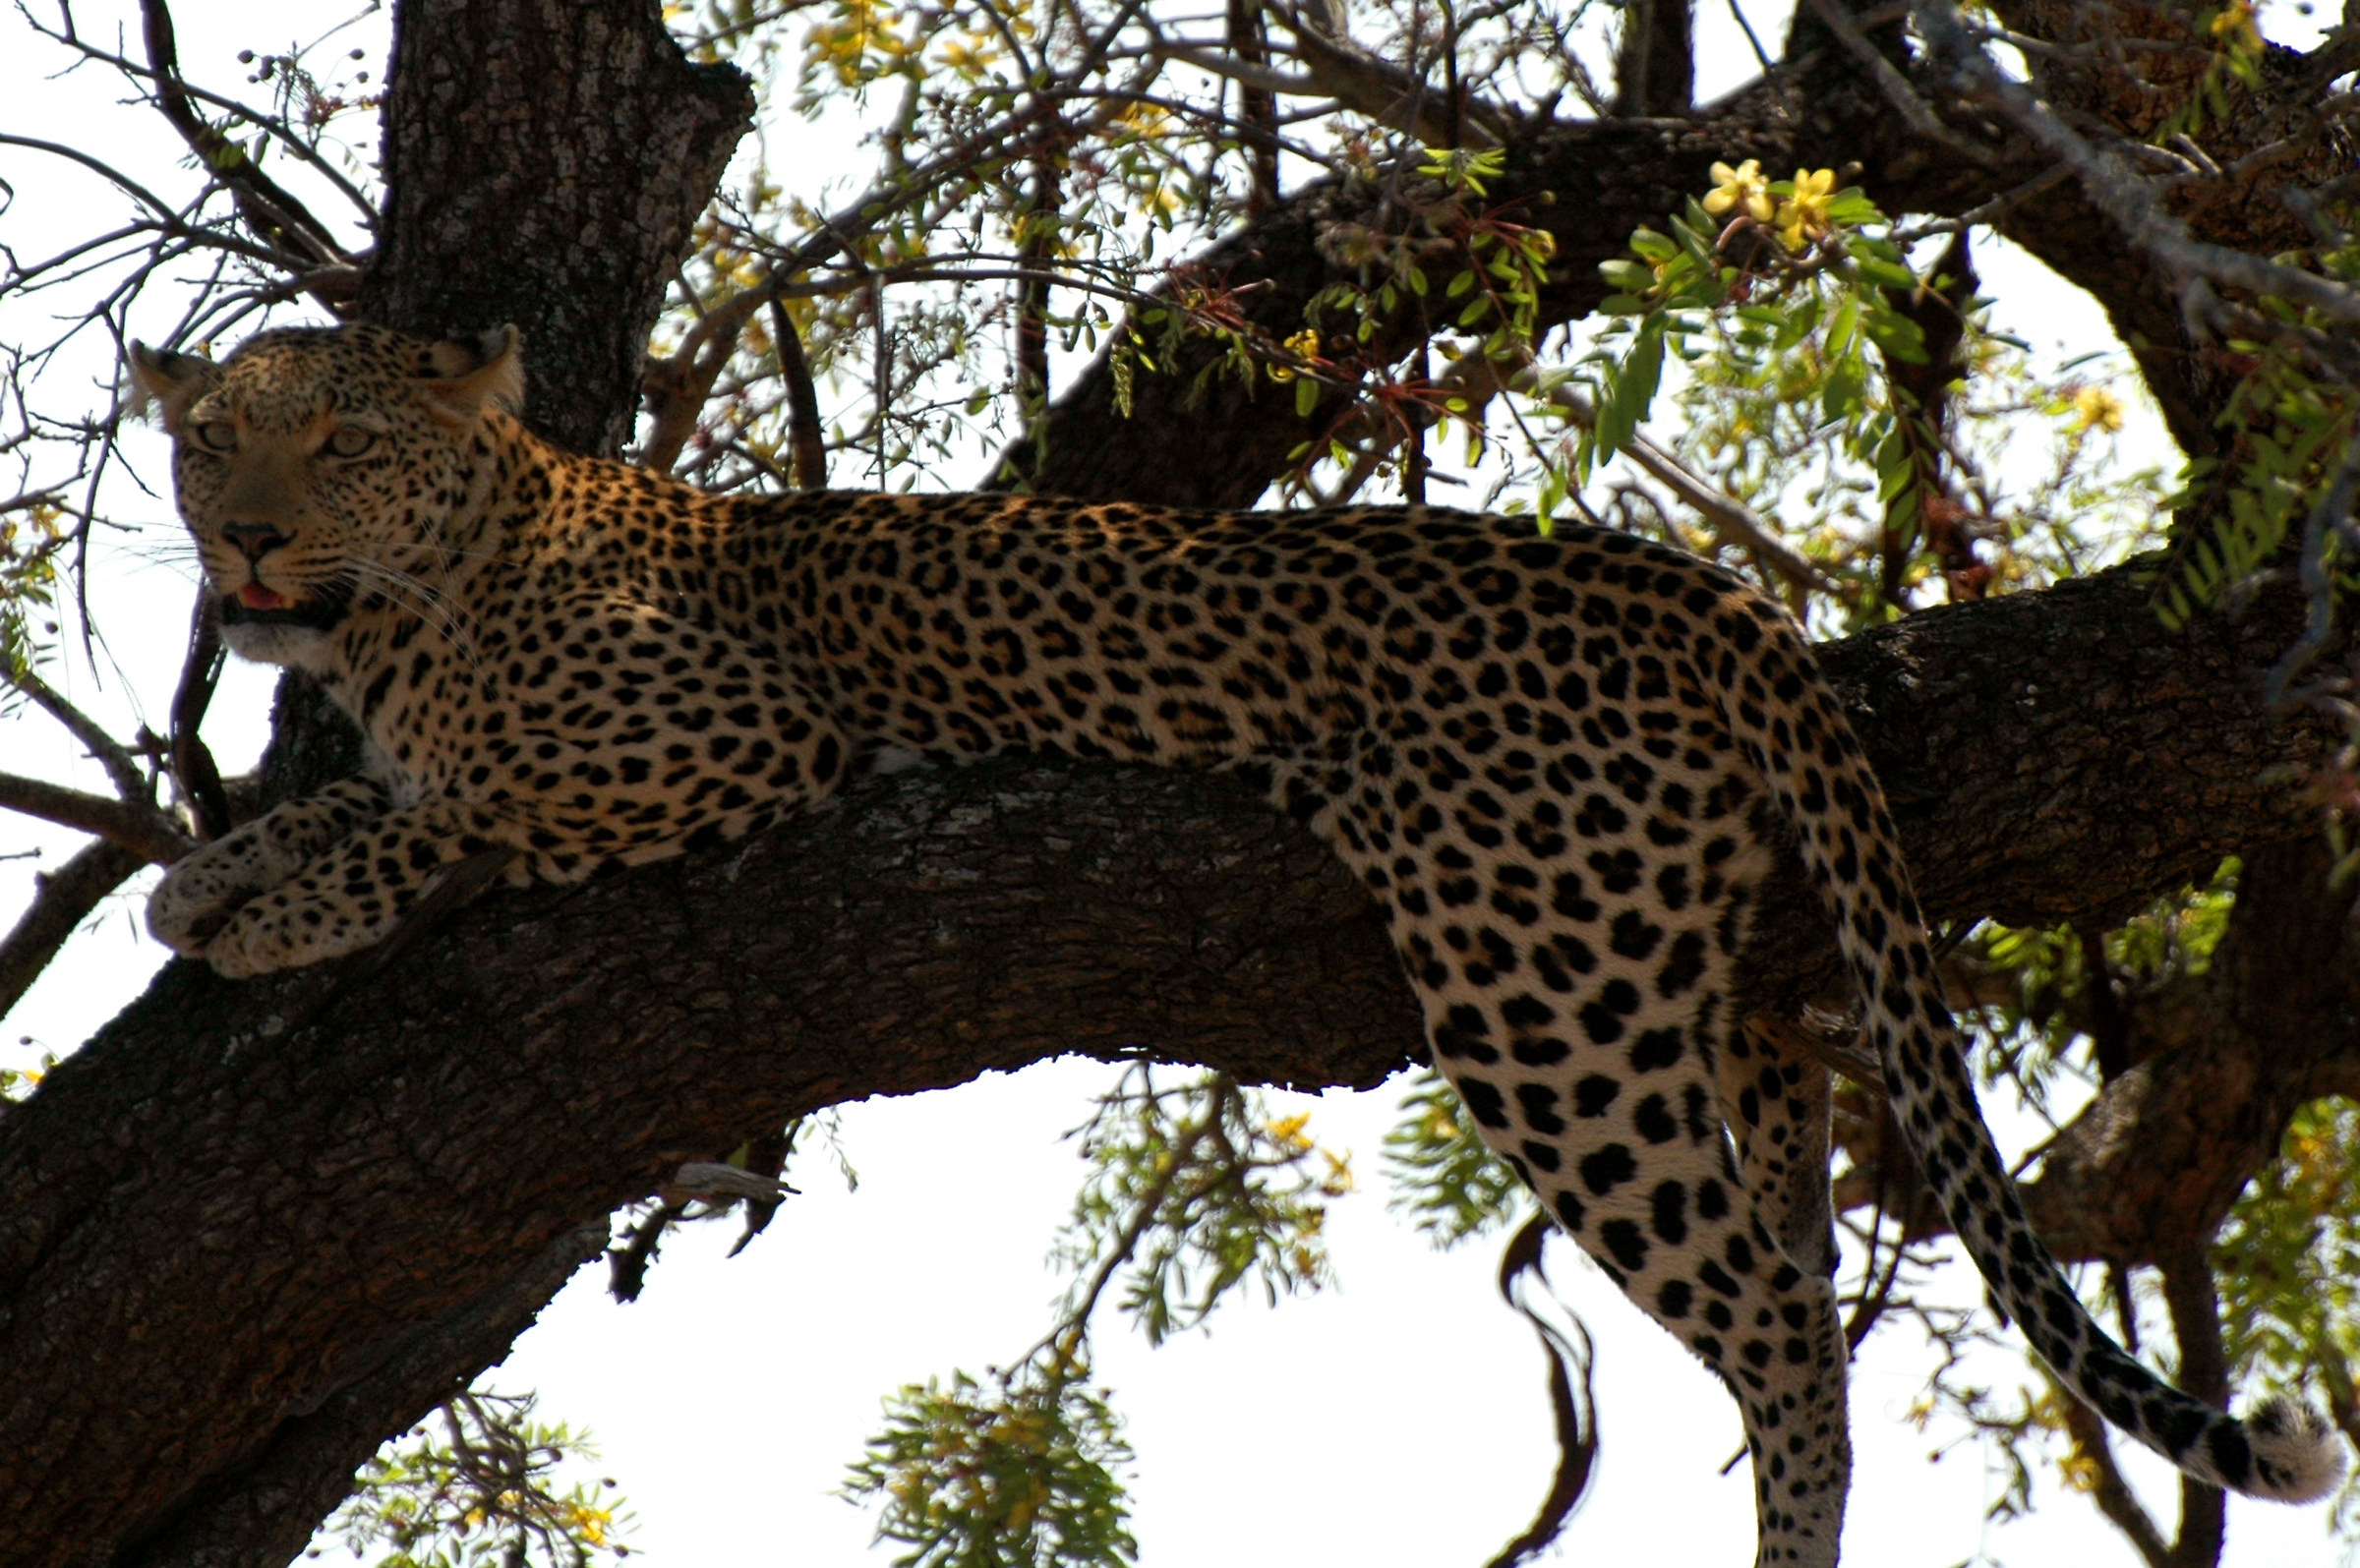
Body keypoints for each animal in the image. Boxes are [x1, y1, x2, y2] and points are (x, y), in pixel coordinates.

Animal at [129, 322, 2342, 1566]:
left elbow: (450, 808)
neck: (424, 604)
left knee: (1784, 1325)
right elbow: (358, 791)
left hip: (1541, 980)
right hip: (1726, 985)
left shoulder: (743, 741)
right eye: (206, 441)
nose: (243, 543)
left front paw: (272, 895)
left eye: (337, 442)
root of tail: (1708, 592)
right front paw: (211, 875)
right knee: (1800, 1261)